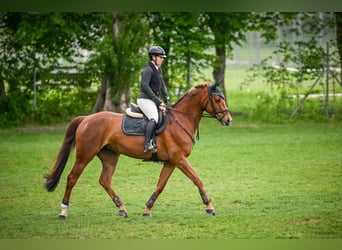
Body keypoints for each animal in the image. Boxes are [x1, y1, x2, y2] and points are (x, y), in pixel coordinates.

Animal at [44, 79, 232, 218]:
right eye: (217, 100)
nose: (228, 120)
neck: (180, 120)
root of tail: (86, 119)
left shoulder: (171, 162)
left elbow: (160, 185)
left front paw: (148, 209)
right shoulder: (179, 159)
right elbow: (197, 179)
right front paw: (209, 206)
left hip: (110, 156)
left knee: (104, 180)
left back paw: (121, 208)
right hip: (85, 155)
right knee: (72, 178)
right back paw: (63, 211)